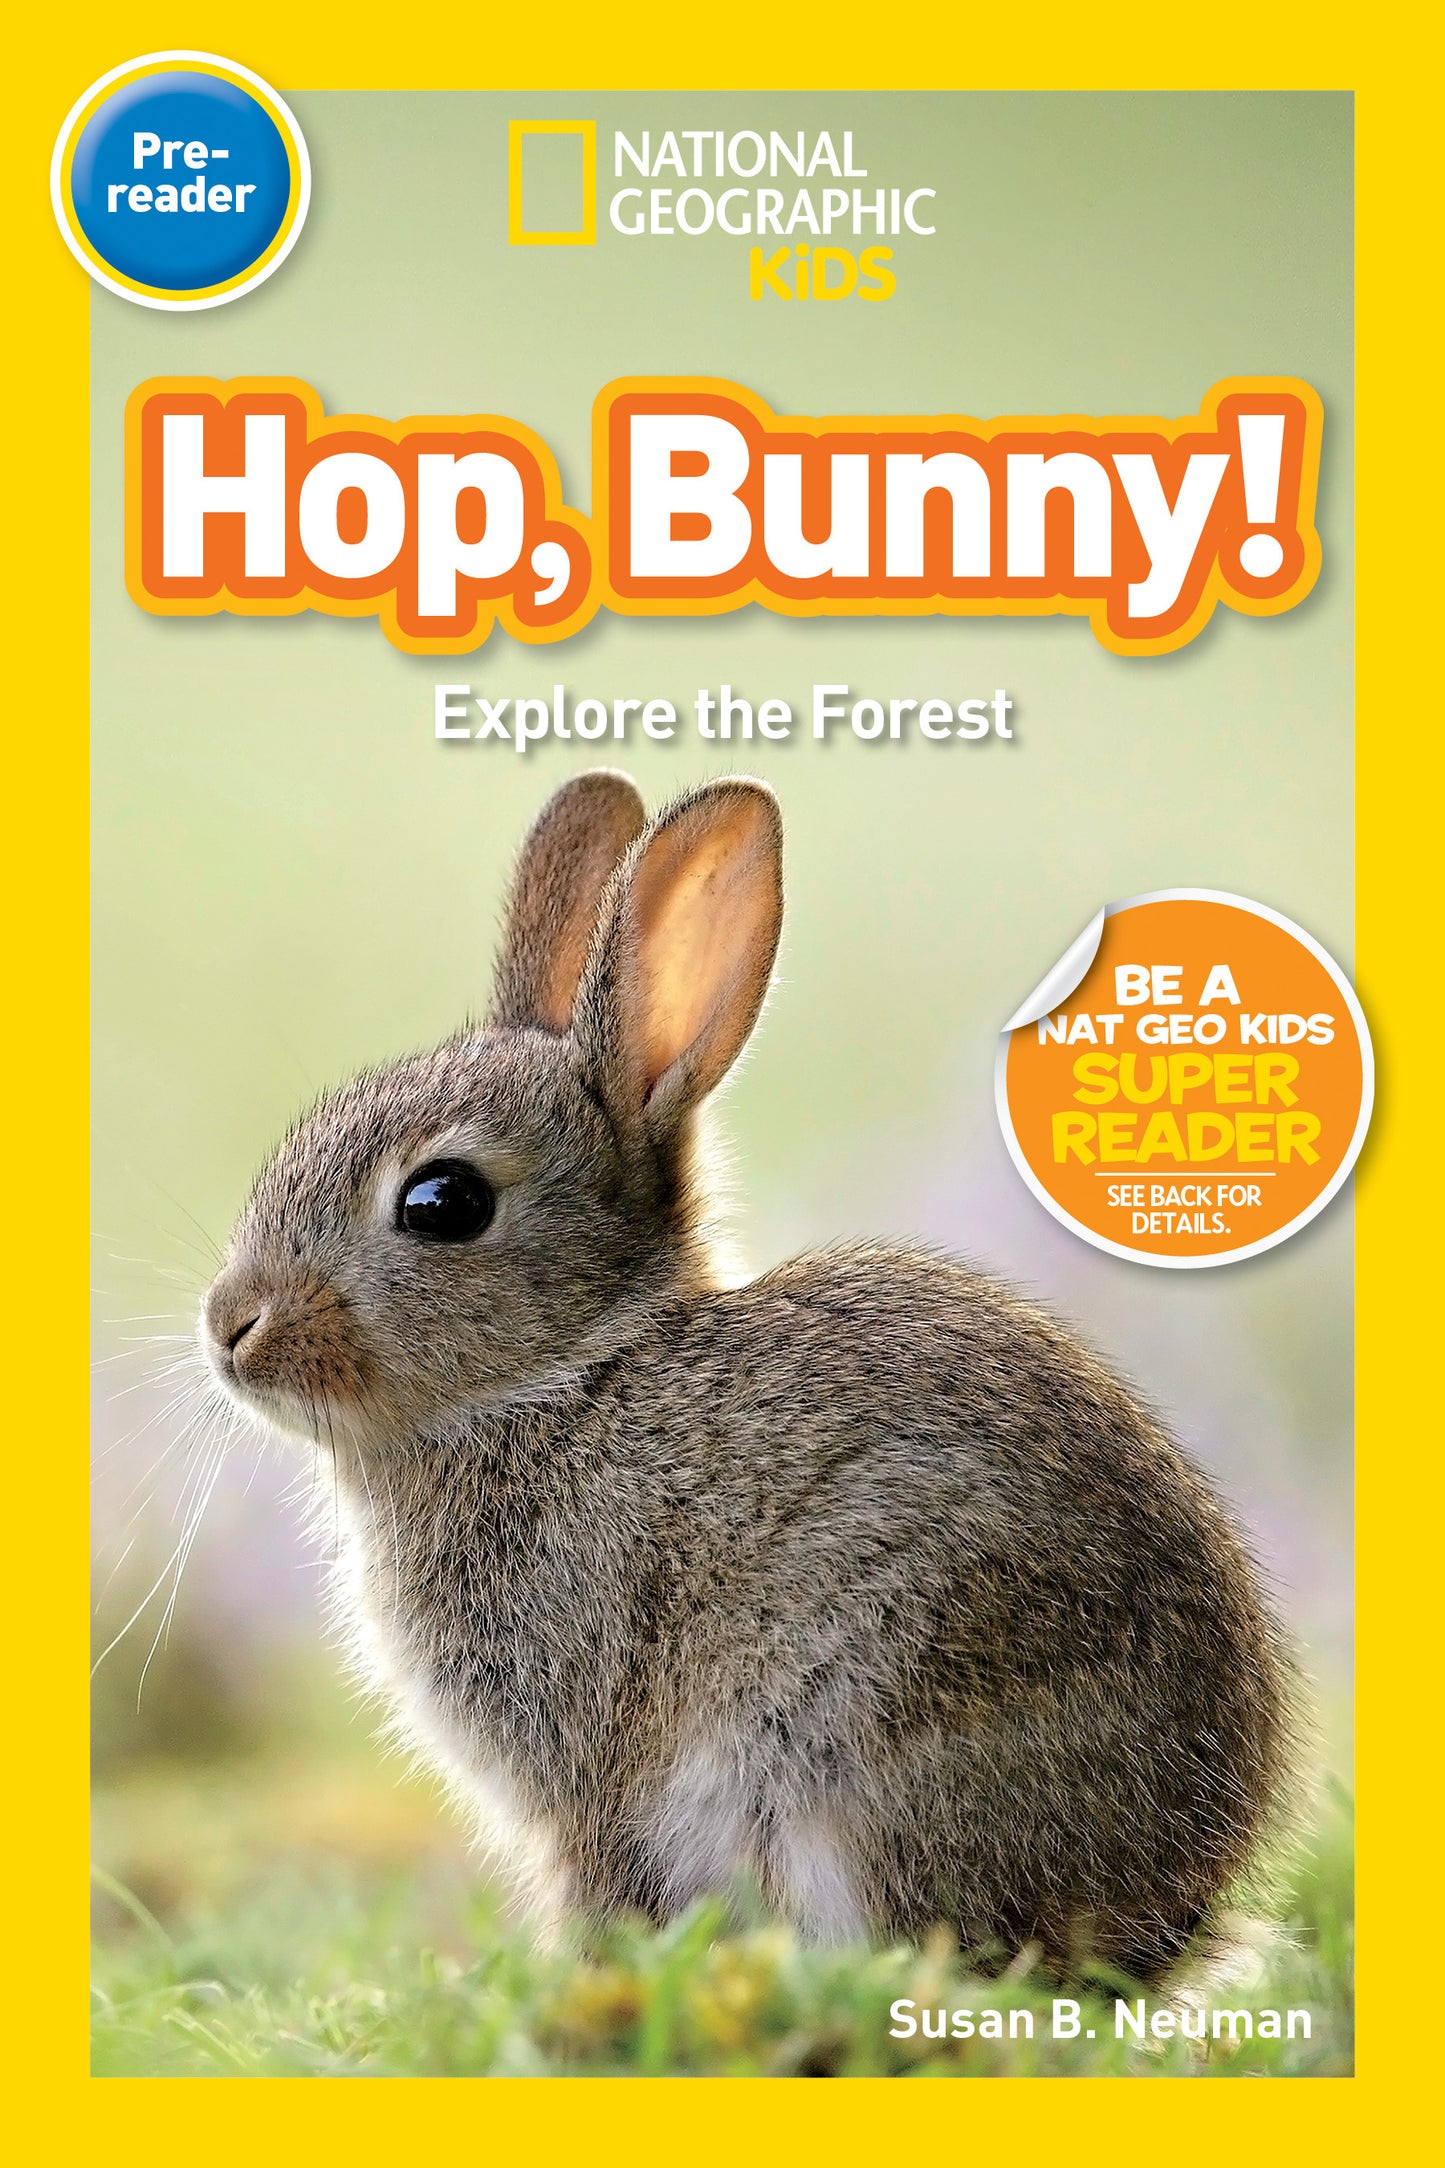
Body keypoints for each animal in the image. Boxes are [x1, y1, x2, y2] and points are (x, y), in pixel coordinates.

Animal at [201, 768, 1293, 1983]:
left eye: (443, 1202)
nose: (230, 1325)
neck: (565, 1374)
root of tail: (1165, 1917)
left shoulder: (589, 1761)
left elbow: (597, 1879)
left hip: (850, 1734)